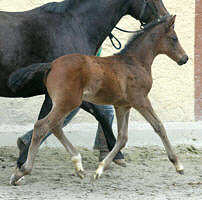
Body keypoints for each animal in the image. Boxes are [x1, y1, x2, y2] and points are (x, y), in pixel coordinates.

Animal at [11, 15, 188, 184]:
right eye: (174, 38)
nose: (184, 59)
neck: (134, 62)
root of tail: (51, 65)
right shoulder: (141, 100)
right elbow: (159, 126)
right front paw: (178, 164)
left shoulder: (123, 106)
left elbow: (122, 137)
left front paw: (100, 169)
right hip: (68, 102)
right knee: (42, 126)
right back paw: (22, 171)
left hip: (65, 103)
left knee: (55, 126)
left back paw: (78, 165)